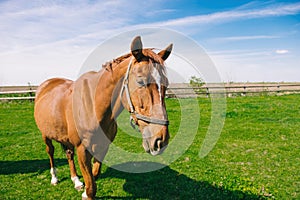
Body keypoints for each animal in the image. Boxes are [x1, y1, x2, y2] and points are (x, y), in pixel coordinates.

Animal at [33, 35, 172, 198]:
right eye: (140, 81)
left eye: (166, 84)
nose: (161, 140)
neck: (93, 107)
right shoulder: (82, 149)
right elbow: (91, 186)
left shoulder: (103, 146)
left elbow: (93, 177)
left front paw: (84, 190)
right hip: (45, 135)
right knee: (50, 152)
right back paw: (54, 177)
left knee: (68, 154)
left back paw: (76, 181)